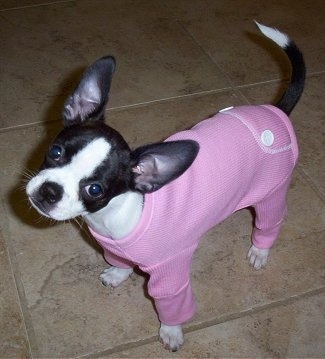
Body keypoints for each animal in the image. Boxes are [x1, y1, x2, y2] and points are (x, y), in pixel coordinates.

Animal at [26, 23, 304, 354]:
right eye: (54, 152)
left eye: (94, 189)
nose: (50, 191)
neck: (114, 216)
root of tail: (276, 112)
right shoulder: (115, 248)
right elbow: (121, 263)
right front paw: (118, 275)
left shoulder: (171, 273)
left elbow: (171, 306)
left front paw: (171, 332)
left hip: (271, 191)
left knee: (271, 220)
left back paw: (260, 251)